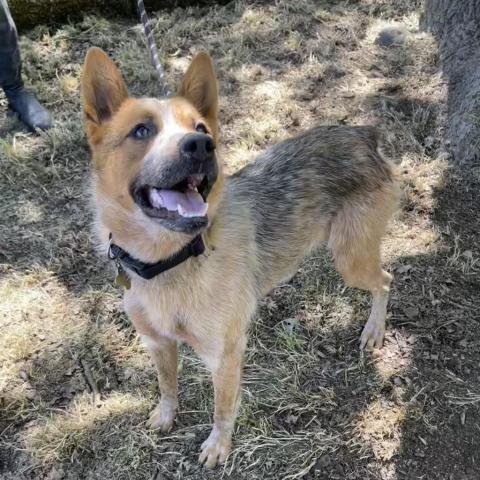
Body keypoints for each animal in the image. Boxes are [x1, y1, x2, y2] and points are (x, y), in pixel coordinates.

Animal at [80, 48, 400, 468]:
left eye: (201, 126)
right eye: (141, 131)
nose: (201, 145)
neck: (172, 260)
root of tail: (363, 135)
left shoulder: (224, 355)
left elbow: (222, 409)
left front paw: (219, 446)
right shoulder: (157, 343)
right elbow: (167, 385)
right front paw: (166, 415)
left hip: (352, 260)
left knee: (386, 281)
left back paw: (374, 330)